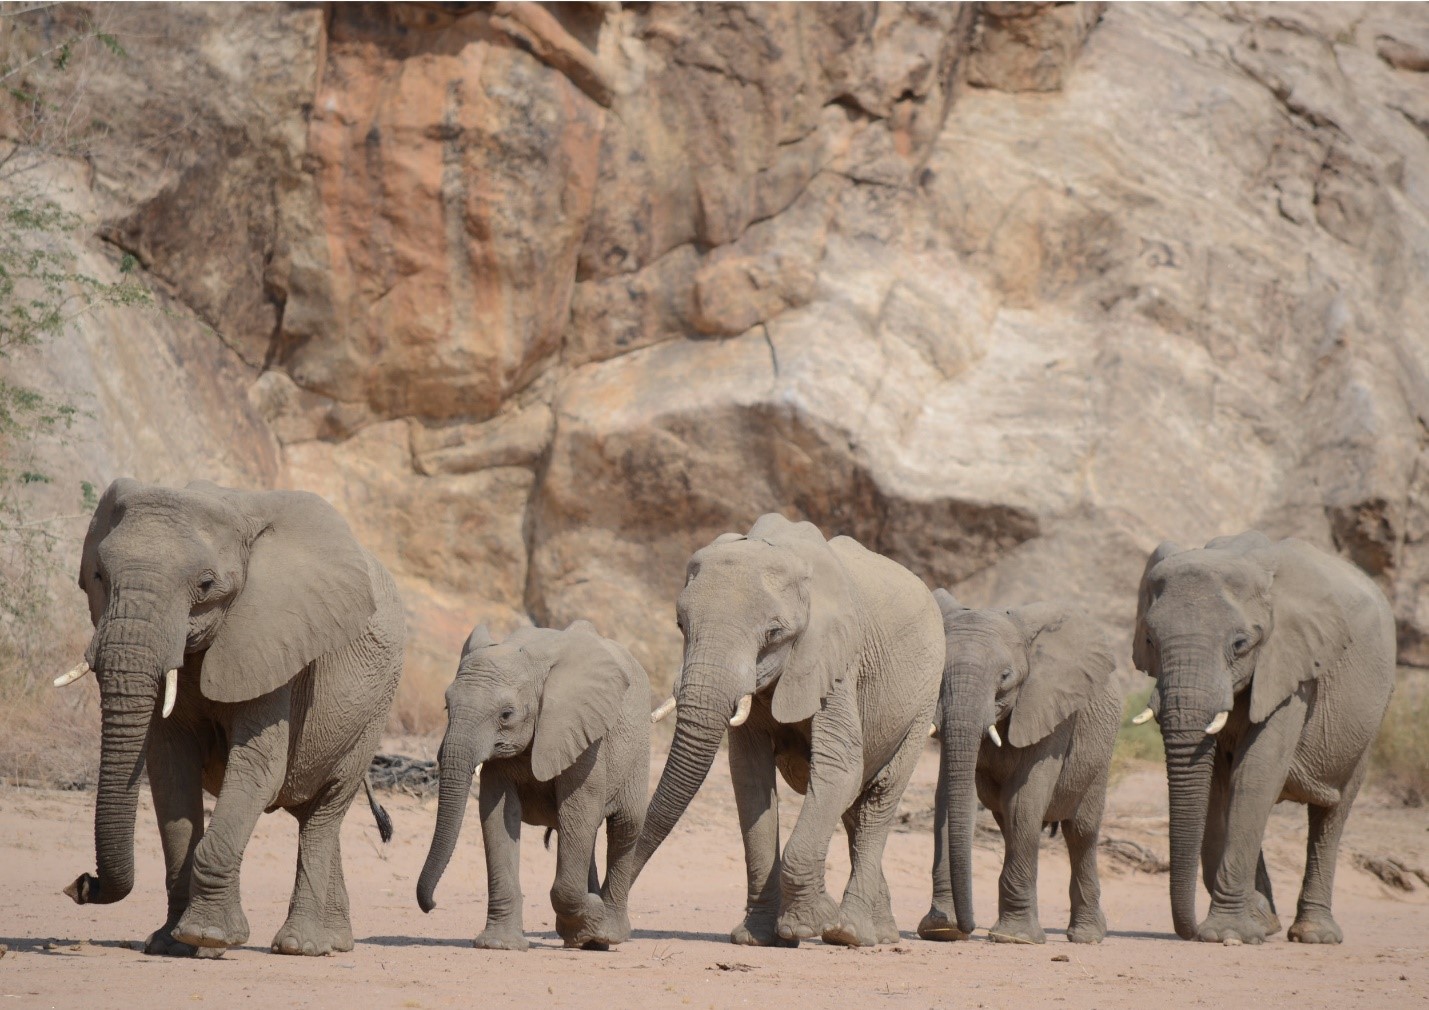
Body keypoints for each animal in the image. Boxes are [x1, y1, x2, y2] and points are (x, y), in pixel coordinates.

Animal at [55, 477, 402, 960]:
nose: (80, 885)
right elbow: (169, 769)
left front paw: (208, 937)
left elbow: (257, 767)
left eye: (205, 584)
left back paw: (301, 945)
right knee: (313, 815)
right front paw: (169, 943)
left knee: (326, 809)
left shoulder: (275, 639)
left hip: (376, 708)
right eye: (99, 577)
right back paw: (334, 942)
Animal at [417, 620, 651, 954]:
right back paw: (585, 939)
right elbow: (497, 814)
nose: (432, 904)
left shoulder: (583, 733)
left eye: (506, 715)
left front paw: (593, 914)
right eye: (447, 707)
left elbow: (579, 809)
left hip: (638, 748)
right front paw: (499, 944)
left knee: (624, 826)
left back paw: (607, 933)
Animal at [637, 514, 948, 948]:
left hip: (924, 699)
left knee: (877, 799)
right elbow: (749, 776)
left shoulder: (835, 660)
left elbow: (838, 765)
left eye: (774, 633)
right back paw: (879, 932)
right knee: (853, 806)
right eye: (680, 624)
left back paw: (849, 933)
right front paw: (756, 938)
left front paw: (807, 924)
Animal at [914, 591, 1126, 948]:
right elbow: (950, 799)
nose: (970, 927)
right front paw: (941, 930)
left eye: (1005, 677)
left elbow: (1024, 803)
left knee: (1081, 831)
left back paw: (1086, 936)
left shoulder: (1049, 706)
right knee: (1007, 823)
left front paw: (1015, 938)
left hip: (1101, 751)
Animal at [1126, 534, 1394, 942]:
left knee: (1332, 813)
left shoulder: (1292, 669)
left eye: (1240, 644)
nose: (1190, 931)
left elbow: (1255, 775)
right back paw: (1268, 924)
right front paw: (1244, 926)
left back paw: (1313, 935)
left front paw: (1227, 934)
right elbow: (1218, 785)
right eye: (1150, 640)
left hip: (1371, 716)